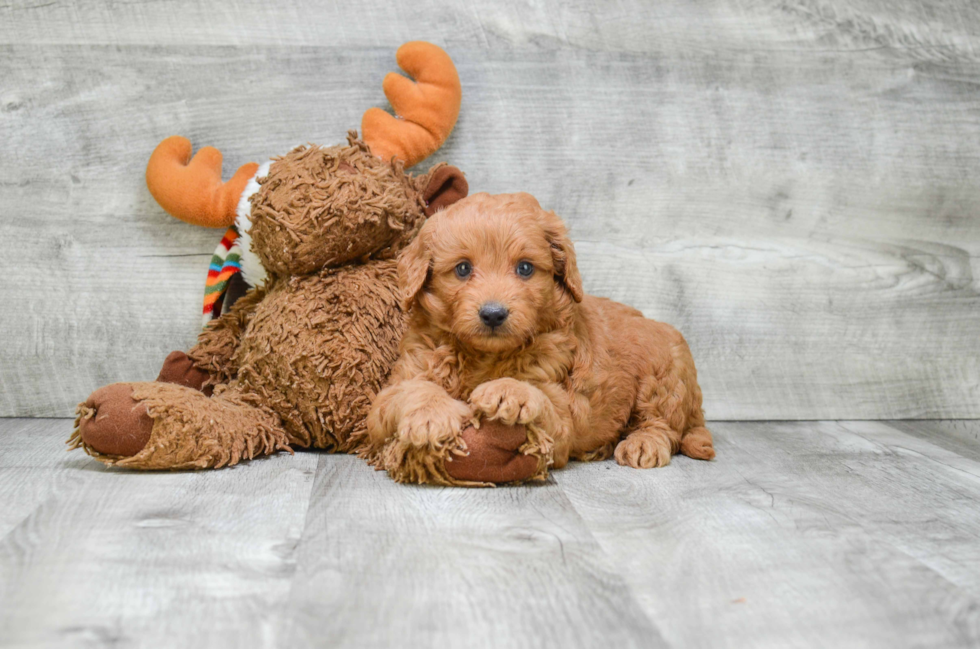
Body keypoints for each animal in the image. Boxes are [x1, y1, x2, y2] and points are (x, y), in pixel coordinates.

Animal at [364, 190, 716, 484]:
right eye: (462, 269)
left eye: (525, 268)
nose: (493, 314)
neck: (483, 355)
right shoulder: (394, 388)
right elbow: (407, 391)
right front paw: (430, 415)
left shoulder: (562, 411)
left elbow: (543, 399)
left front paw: (509, 390)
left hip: (665, 370)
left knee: (663, 424)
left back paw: (644, 443)